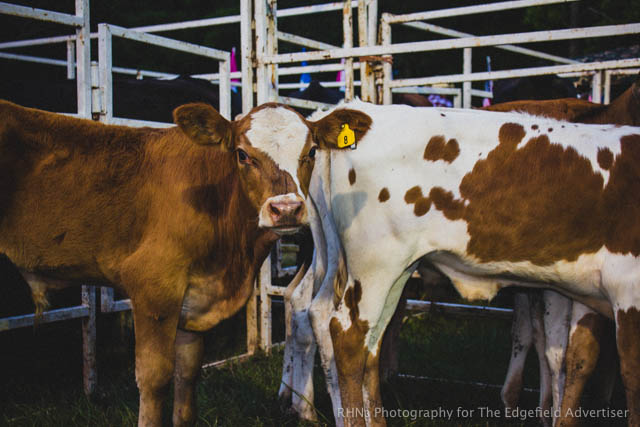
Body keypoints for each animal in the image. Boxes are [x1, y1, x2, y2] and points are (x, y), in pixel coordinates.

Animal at [0, 98, 370, 426]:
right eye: (242, 154)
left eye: (311, 152)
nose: (287, 209)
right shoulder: (152, 286)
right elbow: (154, 377)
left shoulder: (194, 302)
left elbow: (187, 376)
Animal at [282, 101, 640, 427]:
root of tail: (355, 110)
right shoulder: (627, 290)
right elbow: (629, 374)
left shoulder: (585, 291)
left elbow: (578, 357)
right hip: (375, 265)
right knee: (348, 335)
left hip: (380, 266)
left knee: (361, 335)